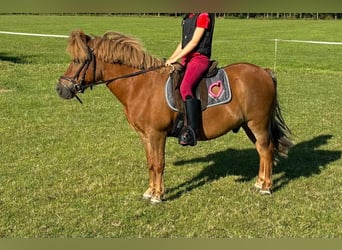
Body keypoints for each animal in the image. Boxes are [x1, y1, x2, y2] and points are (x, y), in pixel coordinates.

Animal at [56, 30, 292, 203]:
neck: (140, 86)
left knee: (267, 150)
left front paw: (158, 196)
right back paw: (259, 182)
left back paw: (266, 187)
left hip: (258, 124)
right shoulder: (145, 136)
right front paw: (150, 191)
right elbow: (151, 163)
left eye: (79, 60)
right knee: (262, 151)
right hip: (248, 126)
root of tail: (264, 72)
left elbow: (159, 164)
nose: (61, 88)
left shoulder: (157, 134)